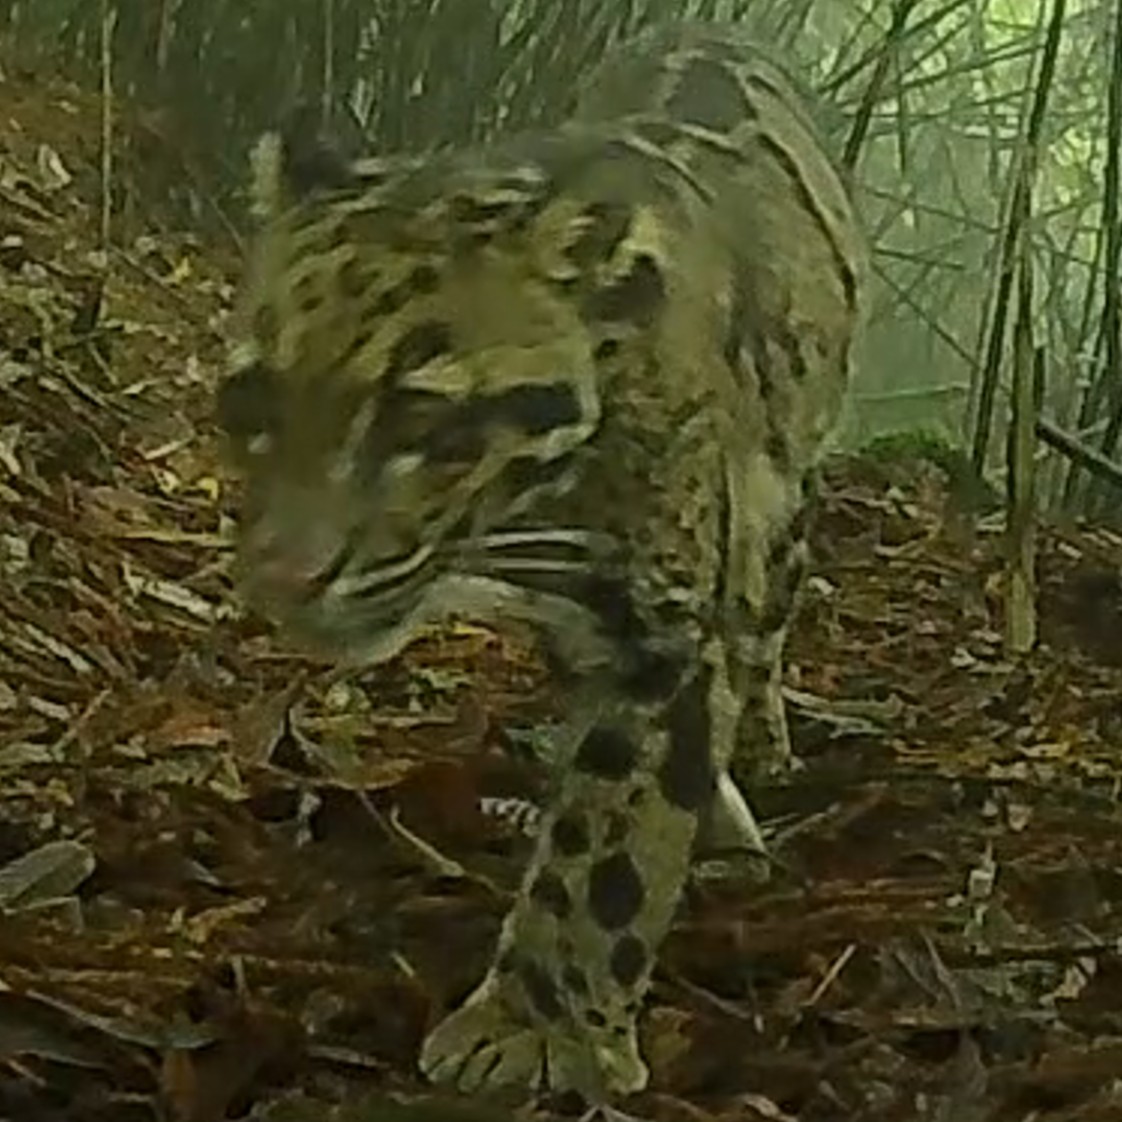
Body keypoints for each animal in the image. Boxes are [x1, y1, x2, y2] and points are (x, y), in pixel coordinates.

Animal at [216, 20, 864, 1102]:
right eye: (252, 400)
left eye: (417, 417)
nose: (282, 579)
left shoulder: (664, 629)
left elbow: (609, 849)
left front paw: (537, 1029)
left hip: (788, 499)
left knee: (765, 621)